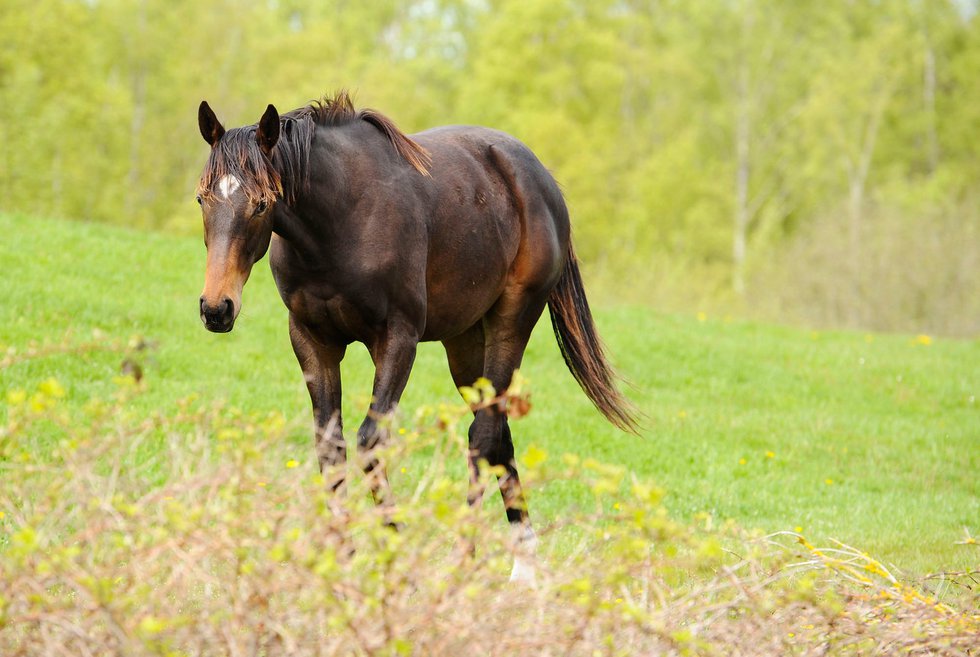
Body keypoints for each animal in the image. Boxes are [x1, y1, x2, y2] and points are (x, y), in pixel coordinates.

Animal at [194, 91, 636, 580]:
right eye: (201, 199)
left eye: (261, 203)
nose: (216, 308)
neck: (341, 221)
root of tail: (542, 181)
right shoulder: (312, 340)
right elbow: (331, 447)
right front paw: (342, 561)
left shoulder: (397, 339)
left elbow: (371, 440)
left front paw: (394, 556)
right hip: (464, 342)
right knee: (498, 434)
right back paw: (524, 565)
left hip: (511, 322)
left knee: (483, 435)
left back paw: (468, 560)